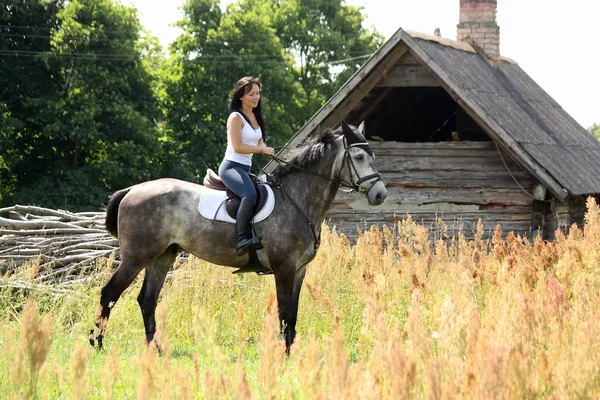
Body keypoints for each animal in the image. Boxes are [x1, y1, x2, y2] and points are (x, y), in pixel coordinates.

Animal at [90, 121, 390, 350]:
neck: (297, 199)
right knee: (110, 293)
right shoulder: (284, 267)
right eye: (359, 157)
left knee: (147, 300)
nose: (380, 195)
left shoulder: (299, 270)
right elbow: (284, 312)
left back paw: (156, 350)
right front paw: (284, 355)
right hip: (137, 256)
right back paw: (97, 343)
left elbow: (292, 314)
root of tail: (132, 190)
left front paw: (291, 352)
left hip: (162, 256)